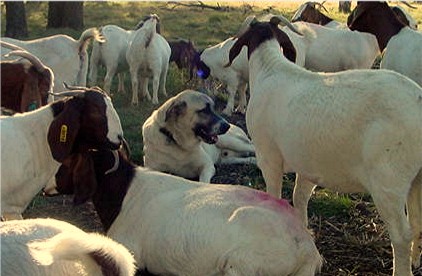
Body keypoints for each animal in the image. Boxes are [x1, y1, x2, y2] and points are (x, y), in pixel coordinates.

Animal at [227, 14, 422, 276]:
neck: (270, 68)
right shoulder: (308, 164)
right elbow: (299, 198)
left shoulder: (268, 156)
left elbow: (275, 196)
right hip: (416, 178)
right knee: (417, 221)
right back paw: (416, 260)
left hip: (389, 179)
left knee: (401, 235)